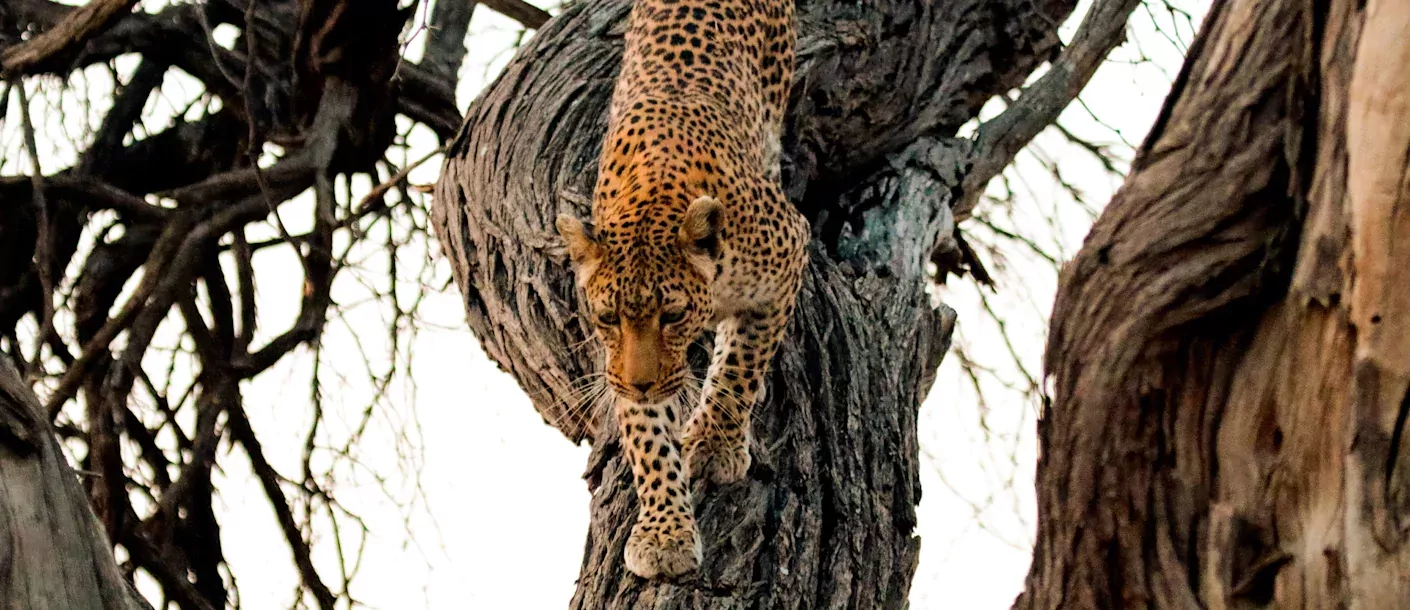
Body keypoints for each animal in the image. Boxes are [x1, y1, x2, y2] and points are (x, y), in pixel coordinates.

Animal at [555, 0, 812, 577]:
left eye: (672, 316)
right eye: (608, 319)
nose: (642, 384)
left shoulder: (787, 253)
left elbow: (741, 365)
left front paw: (715, 443)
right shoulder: (619, 365)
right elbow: (648, 441)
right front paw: (664, 533)